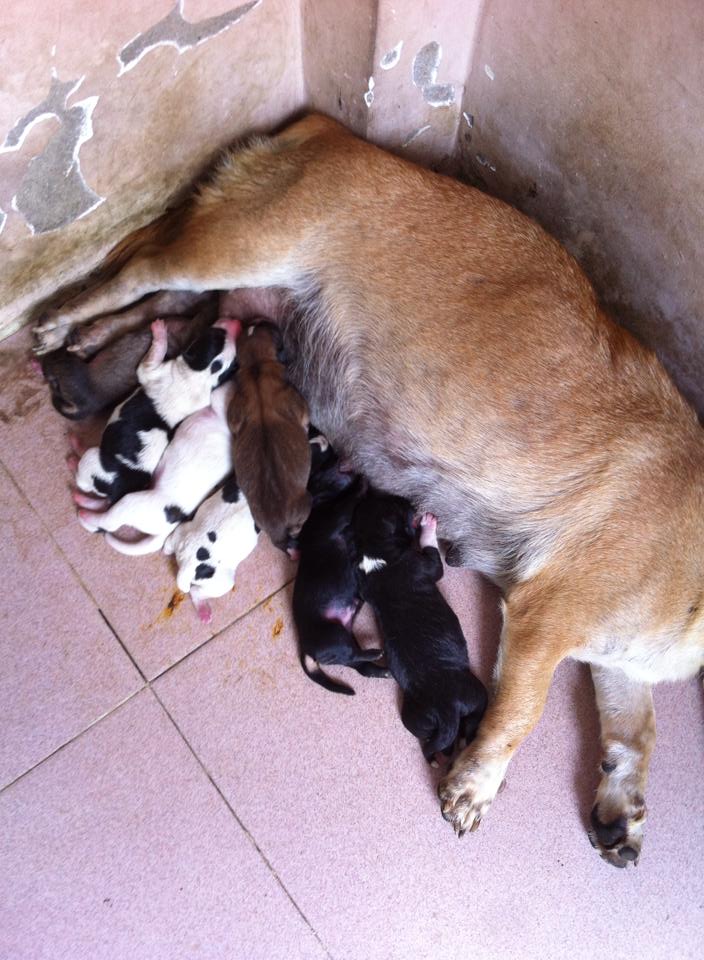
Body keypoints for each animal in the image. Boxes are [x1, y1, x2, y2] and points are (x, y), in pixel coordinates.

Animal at [73, 318, 237, 507]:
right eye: (219, 335)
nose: (237, 323)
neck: (200, 377)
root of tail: (117, 490)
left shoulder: (151, 369)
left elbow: (155, 353)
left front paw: (159, 331)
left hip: (92, 461)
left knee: (82, 478)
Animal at [78, 381, 234, 554]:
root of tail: (167, 530)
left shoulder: (221, 400)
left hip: (132, 504)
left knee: (107, 521)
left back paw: (86, 515)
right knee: (106, 503)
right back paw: (84, 500)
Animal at [163, 472, 259, 623]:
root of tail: (186, 564)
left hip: (183, 530)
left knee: (168, 545)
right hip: (222, 581)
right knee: (195, 591)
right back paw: (204, 611)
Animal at [292, 437, 387, 696]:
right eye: (324, 461)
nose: (323, 438)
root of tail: (306, 649)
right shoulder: (337, 513)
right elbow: (353, 496)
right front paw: (362, 480)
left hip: (344, 635)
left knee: (358, 665)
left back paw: (381, 669)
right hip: (335, 636)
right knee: (355, 656)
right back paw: (376, 653)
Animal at [354, 494, 488, 762]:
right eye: (399, 506)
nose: (408, 501)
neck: (374, 548)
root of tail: (447, 709)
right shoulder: (426, 564)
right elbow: (432, 553)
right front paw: (427, 524)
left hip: (414, 719)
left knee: (430, 741)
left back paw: (439, 756)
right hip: (477, 694)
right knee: (471, 722)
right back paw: (462, 741)